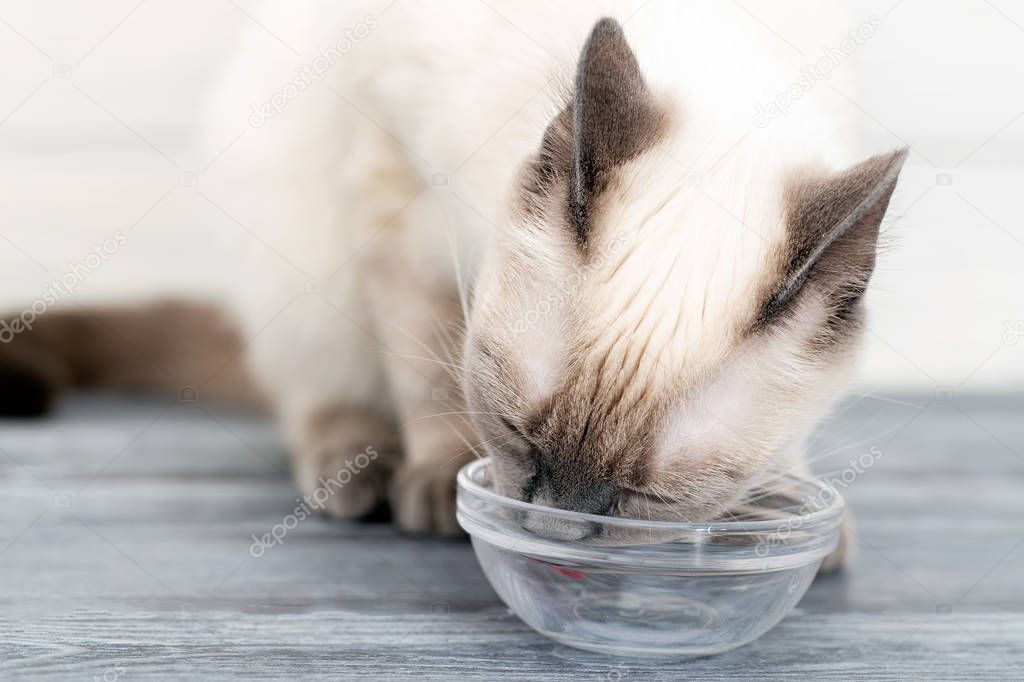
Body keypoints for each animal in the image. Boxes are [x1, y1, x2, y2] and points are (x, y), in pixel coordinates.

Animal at [2, 1, 905, 569]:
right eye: (514, 433)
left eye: (644, 496)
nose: (557, 525)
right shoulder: (393, 185)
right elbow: (430, 365)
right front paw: (439, 479)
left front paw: (788, 511)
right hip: (301, 252)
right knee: (315, 395)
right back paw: (360, 473)